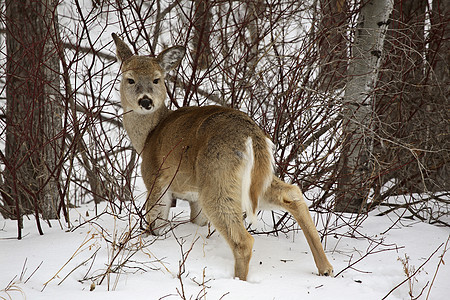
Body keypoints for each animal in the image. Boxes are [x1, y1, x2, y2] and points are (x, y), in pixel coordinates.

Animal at [110, 34, 332, 280]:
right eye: (130, 79)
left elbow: (156, 223)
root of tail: (252, 135)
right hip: (255, 179)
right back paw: (326, 268)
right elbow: (197, 221)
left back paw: (238, 281)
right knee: (292, 193)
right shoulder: (194, 197)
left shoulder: (157, 180)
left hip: (217, 177)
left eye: (157, 79)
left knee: (243, 240)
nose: (146, 101)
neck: (149, 136)